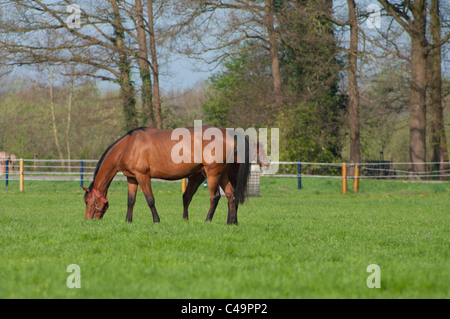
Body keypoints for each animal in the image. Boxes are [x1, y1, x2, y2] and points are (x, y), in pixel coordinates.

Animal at [82, 127, 251, 225]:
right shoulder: (132, 178)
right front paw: (128, 221)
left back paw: (208, 220)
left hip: (212, 173)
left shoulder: (143, 176)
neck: (128, 146)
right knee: (231, 195)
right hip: (222, 175)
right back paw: (232, 222)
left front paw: (156, 220)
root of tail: (227, 133)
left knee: (215, 197)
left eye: (87, 201)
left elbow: (150, 199)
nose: (88, 220)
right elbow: (131, 200)